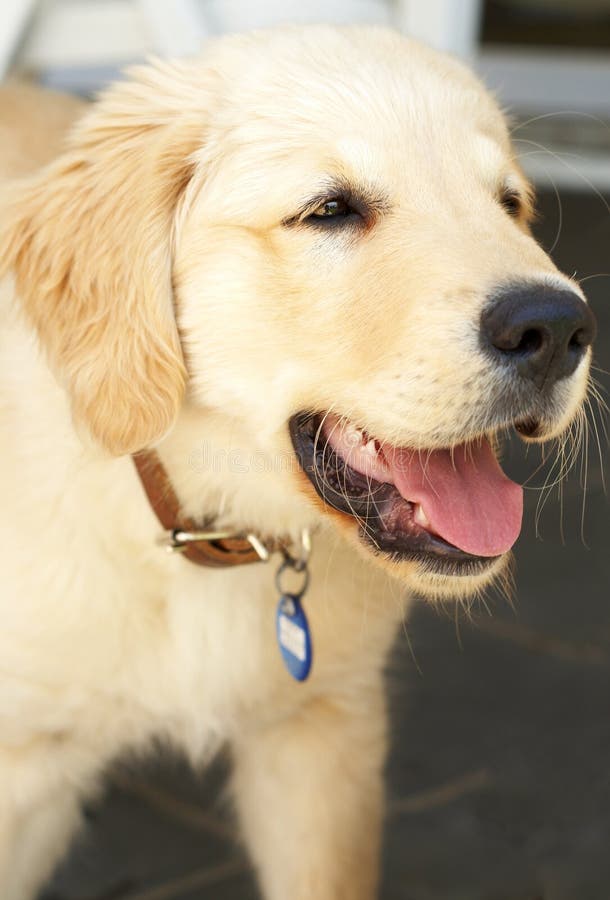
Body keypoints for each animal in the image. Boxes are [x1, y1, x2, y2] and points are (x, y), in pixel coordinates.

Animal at [0, 24, 592, 900]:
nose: (557, 328)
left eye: (510, 203)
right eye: (330, 210)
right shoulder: (23, 766)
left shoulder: (322, 735)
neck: (196, 522)